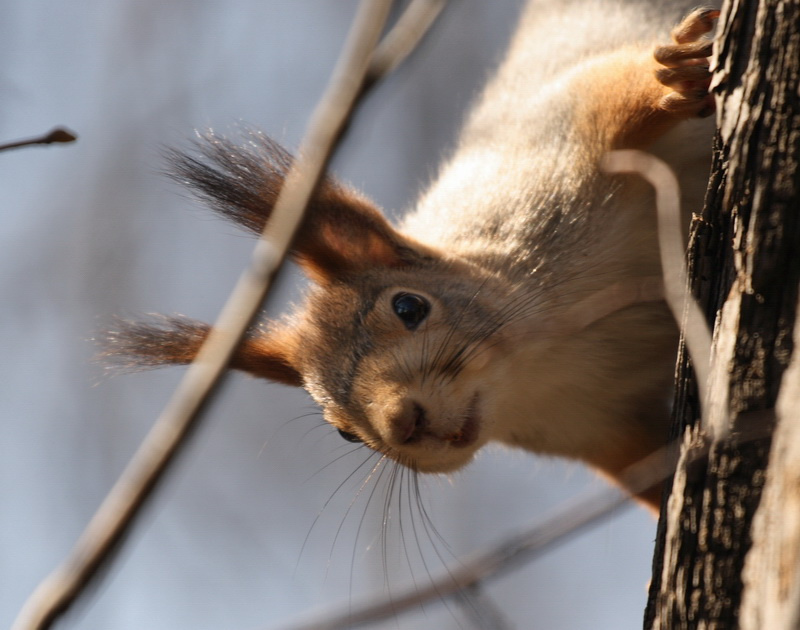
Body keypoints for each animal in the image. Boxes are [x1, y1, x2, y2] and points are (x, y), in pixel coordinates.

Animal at [103, 2, 718, 511]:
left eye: (408, 307)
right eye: (343, 431)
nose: (404, 423)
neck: (544, 359)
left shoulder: (558, 147)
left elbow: (613, 97)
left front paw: (674, 79)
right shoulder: (602, 433)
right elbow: (652, 475)